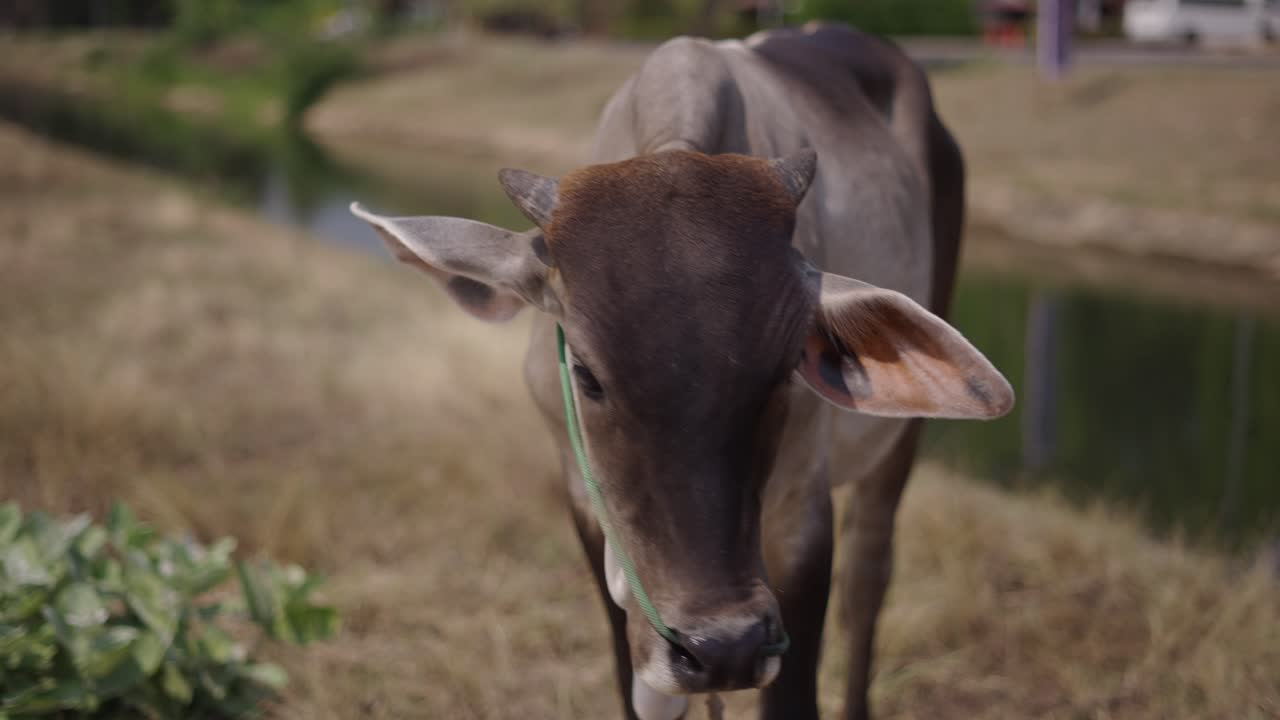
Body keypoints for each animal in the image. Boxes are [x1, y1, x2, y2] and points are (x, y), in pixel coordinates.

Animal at [350, 22, 1013, 720]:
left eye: (785, 370)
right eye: (585, 373)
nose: (724, 647)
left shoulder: (801, 518)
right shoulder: (586, 505)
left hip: (898, 443)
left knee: (869, 577)